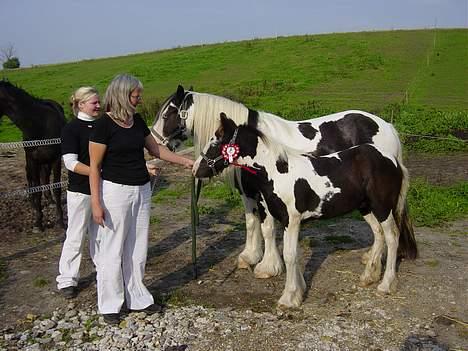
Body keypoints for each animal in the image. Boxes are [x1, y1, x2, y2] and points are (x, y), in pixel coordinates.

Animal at [0, 81, 66, 232]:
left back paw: (50, 200)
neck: (39, 125)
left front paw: (60, 221)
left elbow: (57, 188)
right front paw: (38, 222)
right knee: (31, 177)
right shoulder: (32, 160)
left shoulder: (56, 159)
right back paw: (33, 202)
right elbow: (37, 189)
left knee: (45, 177)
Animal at [153, 84, 416, 280]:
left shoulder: (261, 195)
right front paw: (249, 257)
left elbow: (266, 228)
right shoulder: (249, 193)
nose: (154, 143)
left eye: (166, 114)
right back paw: (371, 259)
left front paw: (267, 266)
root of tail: (387, 126)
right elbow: (251, 223)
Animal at [193, 113, 416, 308]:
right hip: (366, 207)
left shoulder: (291, 220)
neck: (277, 172)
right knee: (378, 234)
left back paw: (386, 285)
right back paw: (368, 276)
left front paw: (289, 298)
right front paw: (298, 291)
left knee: (392, 237)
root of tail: (393, 160)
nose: (196, 169)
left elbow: (290, 255)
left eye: (215, 142)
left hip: (382, 207)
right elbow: (291, 253)